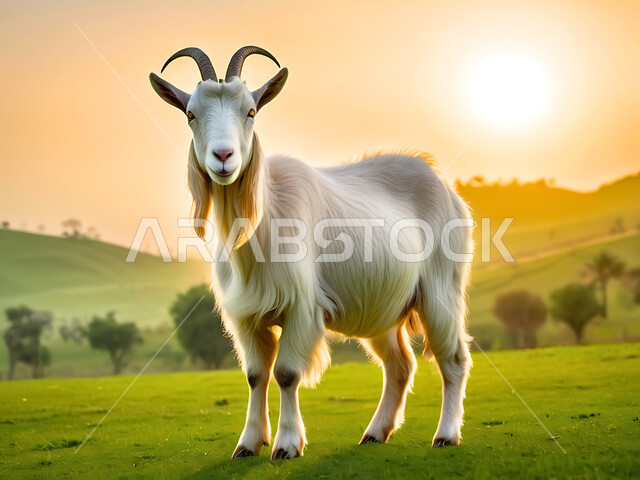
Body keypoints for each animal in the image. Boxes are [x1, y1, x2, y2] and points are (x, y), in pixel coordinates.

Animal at [150, 46, 473, 459]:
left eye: (251, 111)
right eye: (190, 113)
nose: (223, 156)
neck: (262, 217)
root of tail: (442, 182)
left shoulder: (300, 306)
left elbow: (287, 373)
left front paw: (287, 444)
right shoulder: (247, 316)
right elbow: (256, 375)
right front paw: (249, 443)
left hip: (441, 289)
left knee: (453, 360)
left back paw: (446, 435)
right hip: (382, 305)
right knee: (400, 365)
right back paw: (375, 433)